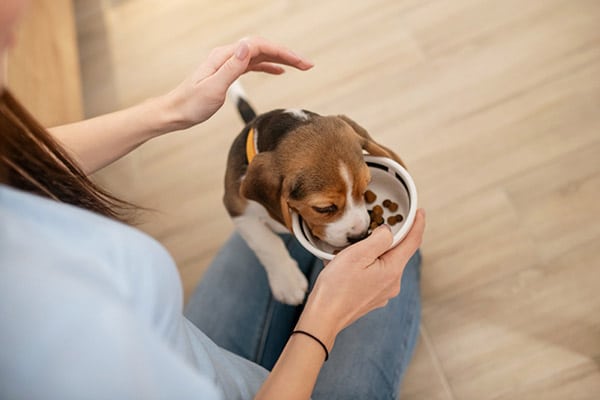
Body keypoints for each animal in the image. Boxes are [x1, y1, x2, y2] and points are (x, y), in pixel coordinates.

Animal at [224, 83, 404, 304]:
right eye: (324, 208)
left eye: (365, 189)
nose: (360, 236)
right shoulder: (237, 209)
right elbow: (266, 243)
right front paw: (288, 282)